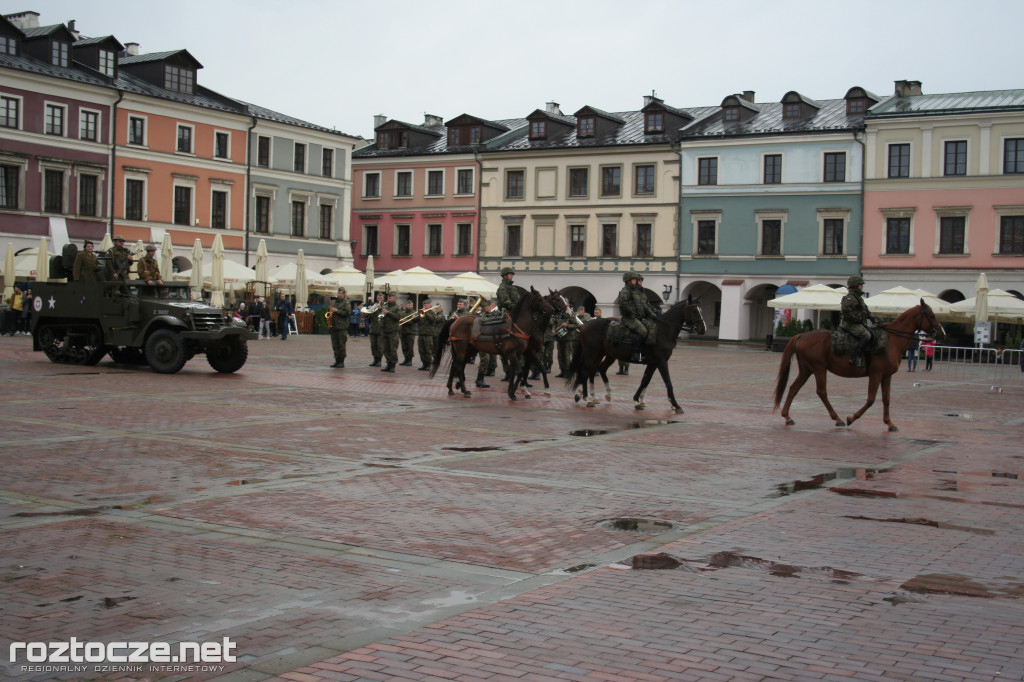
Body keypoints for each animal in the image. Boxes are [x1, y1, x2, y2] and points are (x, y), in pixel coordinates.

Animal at [565, 299, 708, 413]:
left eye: (701, 310)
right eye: (694, 311)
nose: (703, 329)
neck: (663, 330)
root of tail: (585, 325)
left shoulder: (653, 363)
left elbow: (645, 380)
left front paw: (637, 400)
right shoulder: (661, 361)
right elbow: (668, 382)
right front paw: (676, 405)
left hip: (607, 355)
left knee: (597, 370)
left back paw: (600, 395)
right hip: (592, 353)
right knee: (586, 371)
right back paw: (587, 398)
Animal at [770, 299, 946, 430]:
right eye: (931, 315)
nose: (942, 334)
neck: (891, 341)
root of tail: (802, 335)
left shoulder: (886, 376)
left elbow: (886, 399)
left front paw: (889, 422)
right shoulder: (876, 374)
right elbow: (871, 399)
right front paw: (852, 418)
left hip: (807, 369)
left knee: (793, 388)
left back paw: (787, 416)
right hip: (819, 369)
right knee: (821, 392)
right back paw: (837, 418)